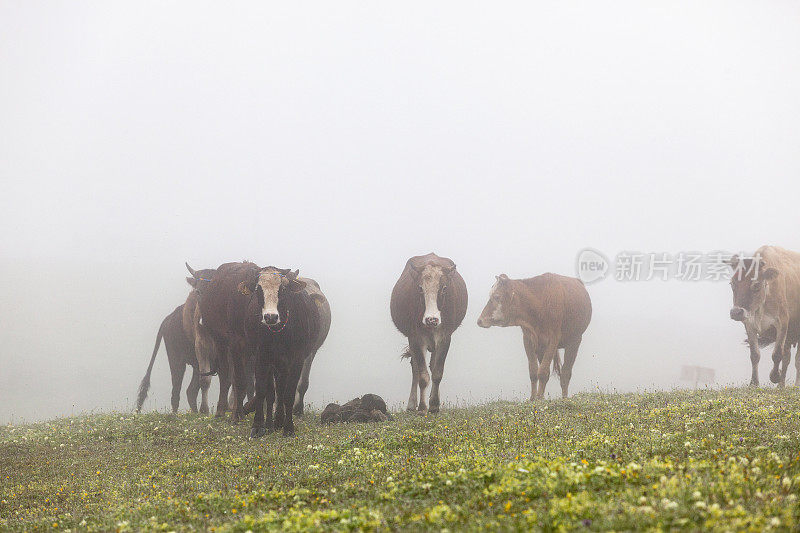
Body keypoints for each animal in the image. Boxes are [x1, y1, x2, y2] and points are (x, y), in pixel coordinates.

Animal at [136, 268, 219, 414]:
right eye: (197, 291)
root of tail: (168, 319)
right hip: (177, 360)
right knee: (177, 391)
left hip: (194, 364)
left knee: (190, 391)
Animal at [390, 252, 466, 412]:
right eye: (420, 288)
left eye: (444, 288)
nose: (432, 319)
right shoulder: (416, 338)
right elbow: (423, 376)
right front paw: (422, 407)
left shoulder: (445, 337)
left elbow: (437, 372)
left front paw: (434, 405)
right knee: (415, 368)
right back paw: (412, 404)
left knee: (432, 366)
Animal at [724, 245, 800, 386]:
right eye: (732, 284)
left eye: (756, 285)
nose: (736, 312)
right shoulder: (749, 323)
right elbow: (755, 355)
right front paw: (753, 383)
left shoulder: (782, 323)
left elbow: (777, 354)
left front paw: (774, 376)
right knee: (787, 358)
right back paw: (781, 386)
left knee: (796, 360)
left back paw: (795, 384)